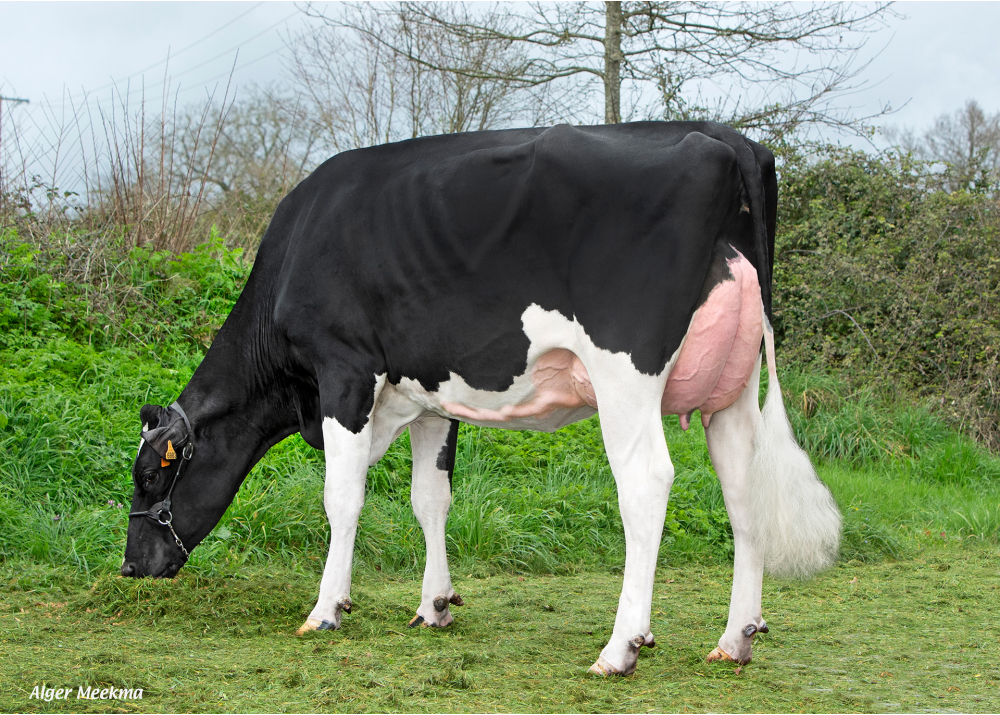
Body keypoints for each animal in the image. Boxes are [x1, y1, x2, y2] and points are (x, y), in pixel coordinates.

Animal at [125, 123, 844, 676]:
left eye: (152, 474)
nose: (132, 566)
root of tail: (727, 140)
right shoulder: (428, 396)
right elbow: (430, 499)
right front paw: (433, 605)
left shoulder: (344, 371)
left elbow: (342, 496)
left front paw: (326, 610)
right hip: (733, 388)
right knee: (743, 488)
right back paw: (735, 638)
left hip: (625, 374)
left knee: (646, 482)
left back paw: (620, 648)